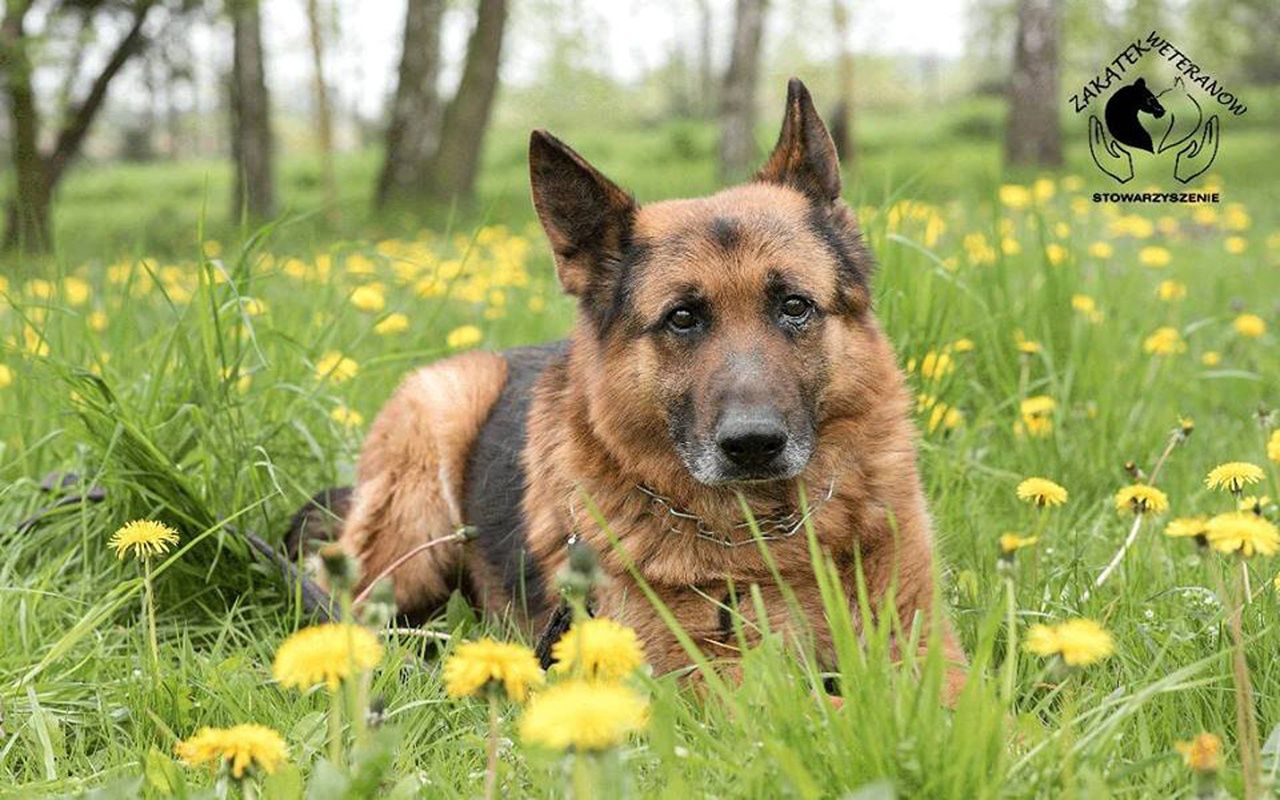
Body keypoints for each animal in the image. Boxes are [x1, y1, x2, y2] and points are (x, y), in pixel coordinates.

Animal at [290, 78, 962, 696]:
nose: (753, 446)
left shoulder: (927, 651)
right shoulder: (710, 688)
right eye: (682, 318)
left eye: (795, 306)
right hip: (427, 476)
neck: (766, 535)